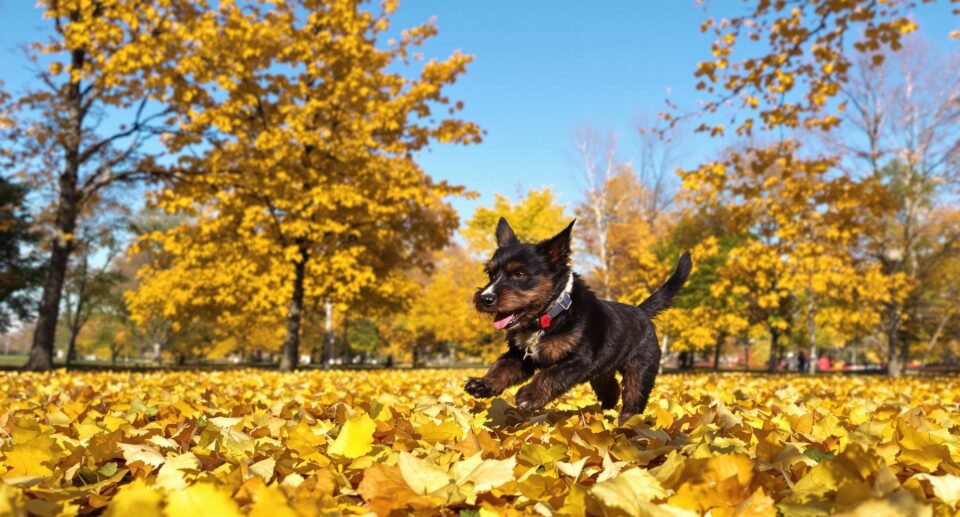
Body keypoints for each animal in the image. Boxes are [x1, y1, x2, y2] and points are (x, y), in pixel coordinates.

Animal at [464, 216, 688, 422]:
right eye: (490, 273)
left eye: (519, 274)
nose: (485, 298)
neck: (548, 317)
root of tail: (641, 311)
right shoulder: (520, 356)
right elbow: (500, 368)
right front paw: (483, 383)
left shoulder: (578, 360)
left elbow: (551, 374)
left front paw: (530, 395)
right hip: (601, 372)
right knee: (612, 390)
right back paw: (604, 416)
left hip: (640, 369)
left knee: (633, 398)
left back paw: (626, 424)